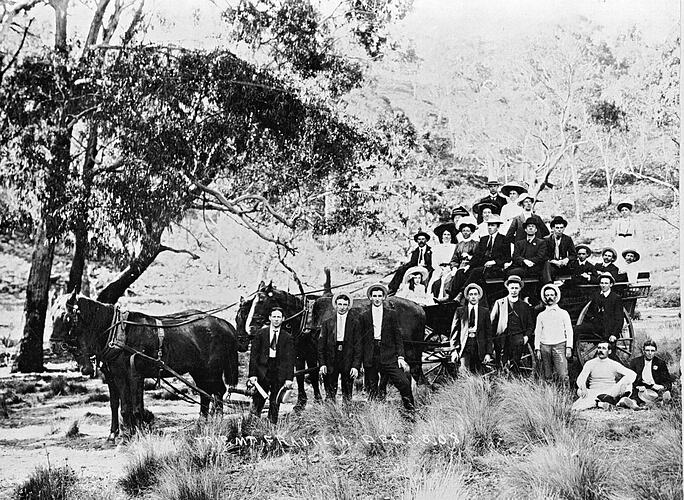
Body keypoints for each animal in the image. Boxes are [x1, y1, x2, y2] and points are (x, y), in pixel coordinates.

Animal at [50, 292, 238, 438]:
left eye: (66, 317)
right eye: (52, 316)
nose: (53, 345)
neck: (117, 332)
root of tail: (224, 324)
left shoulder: (129, 375)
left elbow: (129, 406)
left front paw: (129, 434)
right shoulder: (113, 376)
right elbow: (116, 405)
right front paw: (115, 433)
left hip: (211, 371)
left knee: (218, 392)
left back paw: (217, 422)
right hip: (198, 371)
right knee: (205, 394)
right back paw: (202, 422)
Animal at [236, 286, 428, 402]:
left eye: (261, 301)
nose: (249, 330)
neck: (307, 318)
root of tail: (419, 307)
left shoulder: (316, 353)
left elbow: (318, 375)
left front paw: (320, 399)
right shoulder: (300, 352)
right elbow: (302, 376)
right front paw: (302, 401)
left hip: (411, 350)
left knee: (415, 371)